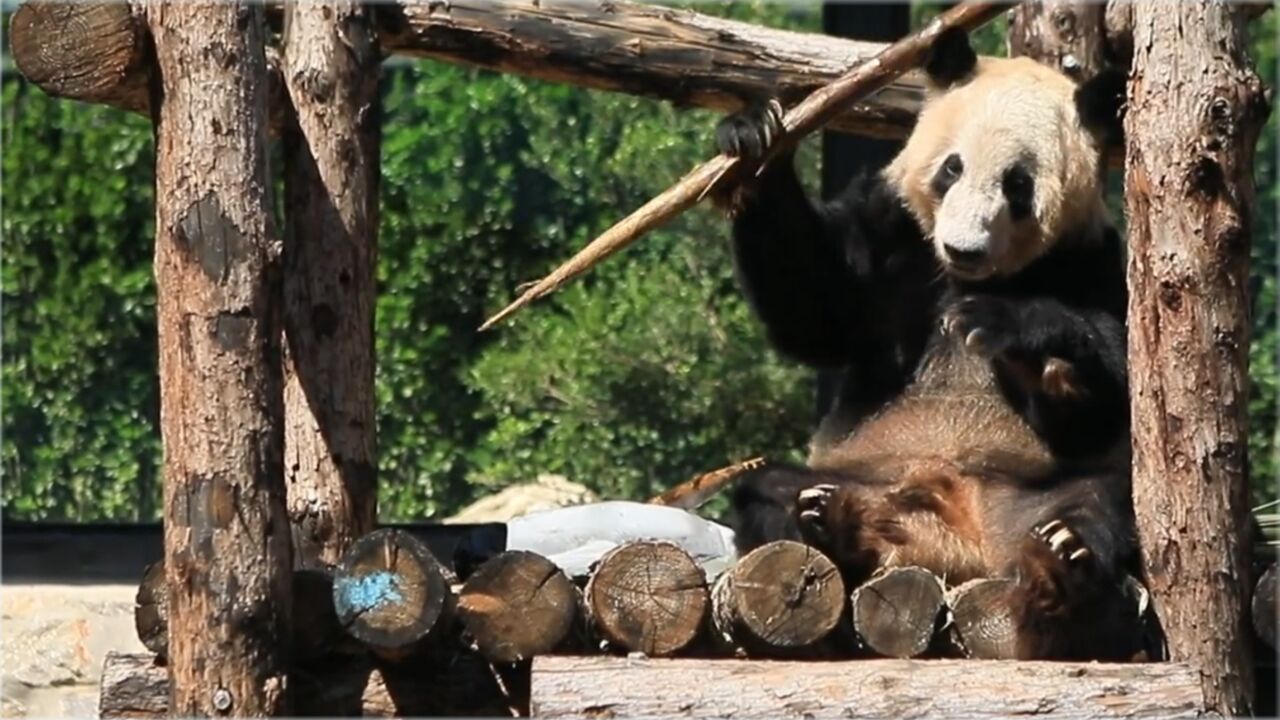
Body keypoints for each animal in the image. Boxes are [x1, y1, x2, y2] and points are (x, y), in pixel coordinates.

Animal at [716, 26, 1136, 655]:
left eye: (1017, 185)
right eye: (951, 169)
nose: (964, 249)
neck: (971, 277)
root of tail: (957, 542)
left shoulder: (1090, 258)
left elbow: (1113, 384)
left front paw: (1024, 344)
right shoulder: (893, 233)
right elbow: (819, 309)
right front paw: (754, 138)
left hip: (1033, 494)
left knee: (1103, 501)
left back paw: (1062, 556)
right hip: (871, 478)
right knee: (766, 491)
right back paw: (828, 524)